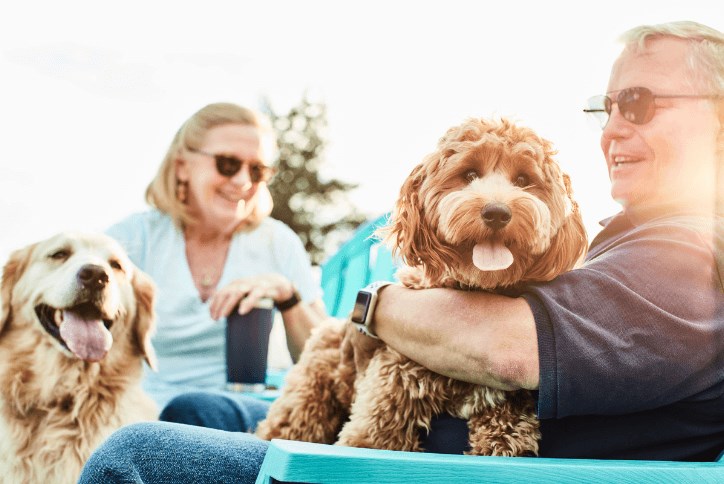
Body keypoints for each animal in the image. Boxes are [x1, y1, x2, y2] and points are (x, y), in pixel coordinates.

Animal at [258, 118, 584, 458]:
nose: (497, 212)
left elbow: (506, 434)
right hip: (308, 398)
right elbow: (370, 437)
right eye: (469, 175)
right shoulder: (389, 394)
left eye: (523, 179)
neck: (476, 287)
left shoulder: (504, 405)